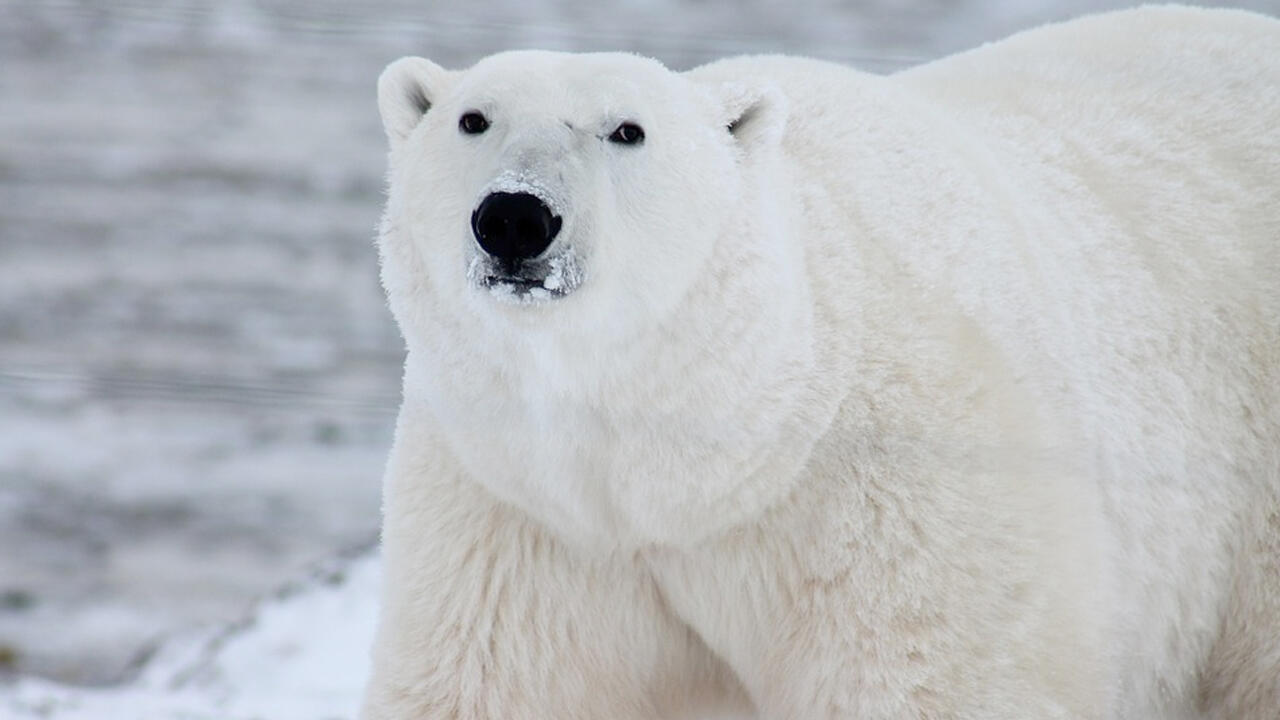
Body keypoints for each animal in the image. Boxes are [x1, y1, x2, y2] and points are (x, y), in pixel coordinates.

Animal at [363, 7, 1280, 717]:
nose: (516, 217)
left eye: (627, 130)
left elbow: (930, 681)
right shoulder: (521, 513)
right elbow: (490, 683)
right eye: (472, 119)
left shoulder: (895, 493)